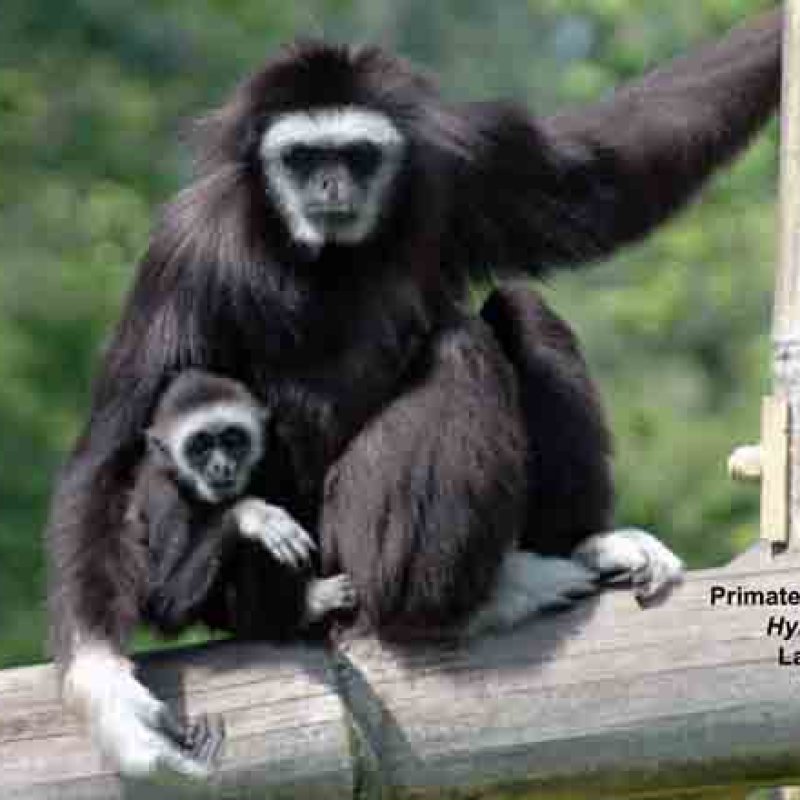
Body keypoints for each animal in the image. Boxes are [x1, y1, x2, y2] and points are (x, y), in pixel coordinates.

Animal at [45, 12, 782, 776]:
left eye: (357, 155)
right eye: (303, 158)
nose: (331, 183)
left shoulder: (464, 163)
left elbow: (604, 176)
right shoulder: (186, 249)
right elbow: (113, 452)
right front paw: (106, 688)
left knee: (518, 306)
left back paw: (583, 542)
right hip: (343, 546)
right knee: (459, 347)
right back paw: (455, 606)